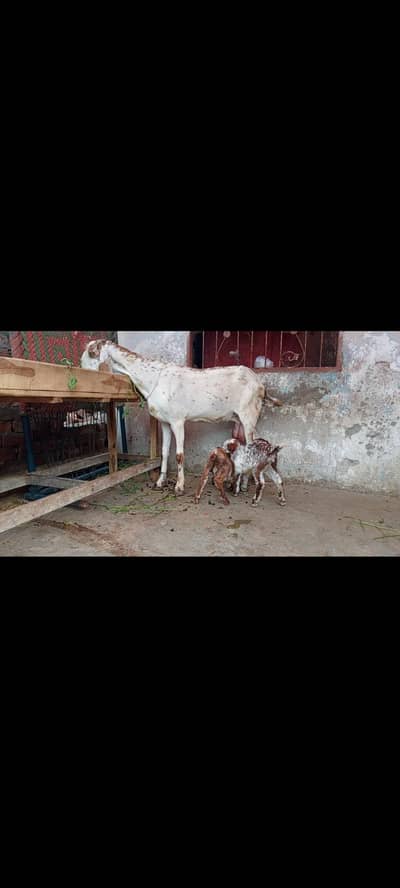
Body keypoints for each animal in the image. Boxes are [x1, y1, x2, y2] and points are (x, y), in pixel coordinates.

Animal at [80, 339, 283, 495]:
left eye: (90, 356)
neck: (153, 378)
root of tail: (260, 384)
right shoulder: (164, 422)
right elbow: (164, 452)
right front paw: (160, 482)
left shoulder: (177, 421)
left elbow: (179, 455)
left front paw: (179, 486)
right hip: (239, 418)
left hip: (249, 415)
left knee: (252, 445)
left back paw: (245, 486)